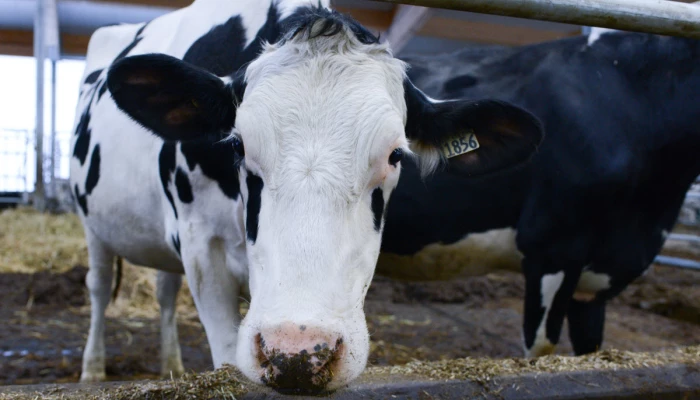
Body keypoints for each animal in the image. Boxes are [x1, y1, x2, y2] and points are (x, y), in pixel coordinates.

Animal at [71, 0, 542, 393]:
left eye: (395, 155)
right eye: (238, 145)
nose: (297, 354)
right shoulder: (202, 246)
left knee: (164, 289)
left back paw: (171, 365)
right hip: (93, 223)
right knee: (98, 287)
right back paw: (91, 370)